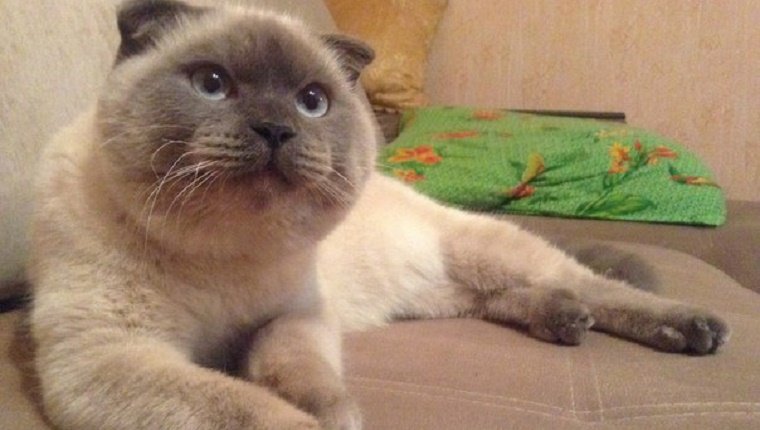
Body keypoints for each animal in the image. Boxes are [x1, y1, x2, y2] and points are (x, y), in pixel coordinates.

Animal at [28, 0, 732, 430]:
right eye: (213, 85)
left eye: (312, 101)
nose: (275, 129)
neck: (225, 255)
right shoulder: (111, 358)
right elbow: (249, 406)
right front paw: (312, 420)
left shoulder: (295, 316)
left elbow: (295, 374)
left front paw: (332, 415)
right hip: (441, 298)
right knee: (512, 299)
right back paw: (566, 322)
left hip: (488, 255)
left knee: (595, 286)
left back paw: (692, 330)